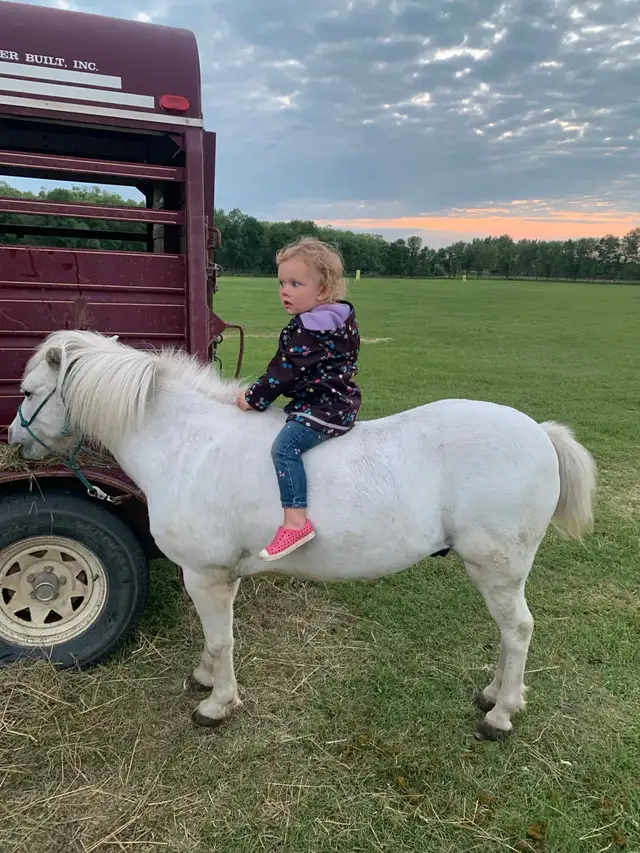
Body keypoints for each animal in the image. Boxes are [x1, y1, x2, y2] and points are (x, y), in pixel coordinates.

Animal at [8, 329, 597, 740]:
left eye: (30, 391)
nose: (15, 441)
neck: (190, 444)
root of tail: (539, 433)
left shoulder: (205, 574)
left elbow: (221, 639)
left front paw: (217, 704)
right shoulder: (217, 576)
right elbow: (213, 639)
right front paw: (205, 678)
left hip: (497, 568)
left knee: (518, 630)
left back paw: (501, 715)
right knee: (510, 633)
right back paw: (494, 695)